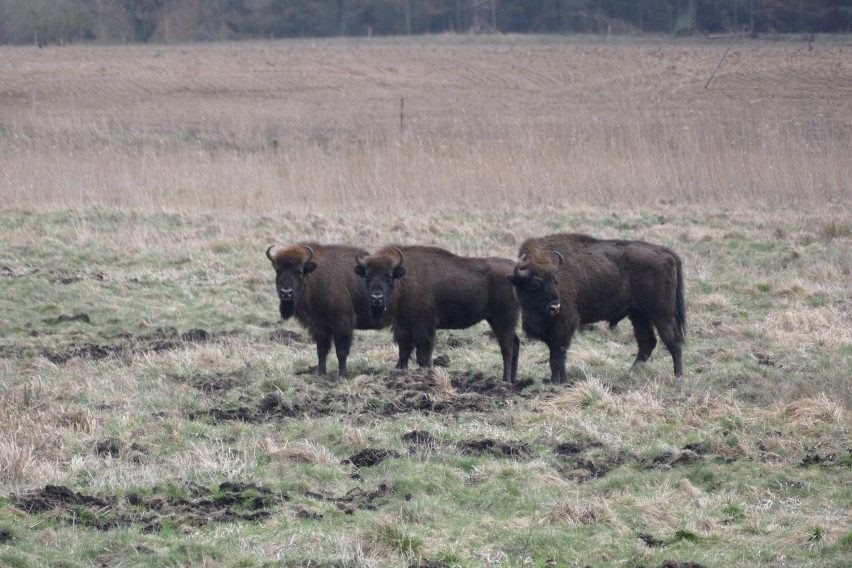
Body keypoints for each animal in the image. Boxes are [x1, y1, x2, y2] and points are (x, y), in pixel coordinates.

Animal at [266, 243, 386, 378]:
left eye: (299, 271)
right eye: (278, 270)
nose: (286, 292)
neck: (315, 278)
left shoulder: (342, 323)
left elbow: (341, 351)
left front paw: (342, 375)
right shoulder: (318, 325)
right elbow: (321, 350)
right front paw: (320, 372)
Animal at [352, 244, 520, 382]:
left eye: (389, 276)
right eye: (367, 275)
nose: (377, 298)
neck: (404, 278)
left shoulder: (423, 326)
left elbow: (423, 355)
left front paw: (425, 374)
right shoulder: (403, 326)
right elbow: (404, 351)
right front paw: (400, 371)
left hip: (502, 319)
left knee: (507, 347)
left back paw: (505, 380)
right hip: (503, 321)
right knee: (516, 343)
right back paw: (513, 379)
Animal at [506, 233, 684, 384]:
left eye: (555, 280)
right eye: (535, 283)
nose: (554, 306)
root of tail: (667, 252)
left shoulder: (563, 326)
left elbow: (556, 356)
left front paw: (556, 381)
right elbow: (556, 355)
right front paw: (560, 379)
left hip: (661, 313)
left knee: (673, 340)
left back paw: (678, 376)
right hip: (638, 314)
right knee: (647, 342)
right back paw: (630, 372)